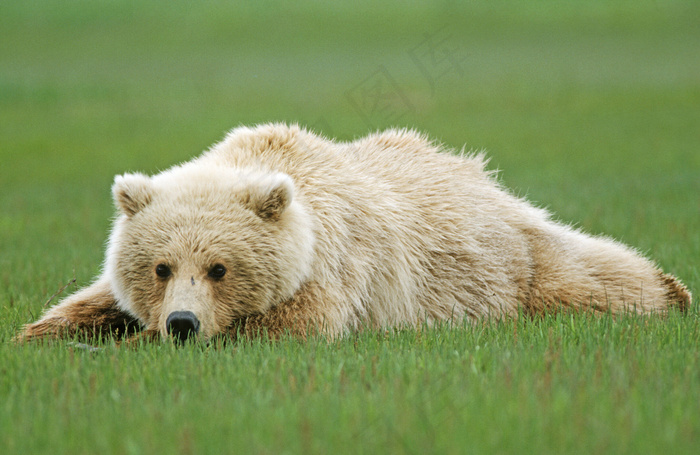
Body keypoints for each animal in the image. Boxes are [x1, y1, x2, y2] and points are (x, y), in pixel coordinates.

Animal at [19, 123, 692, 344]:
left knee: (590, 277)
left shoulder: (334, 268)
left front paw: (136, 344)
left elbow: (299, 325)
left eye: (220, 267)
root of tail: (480, 175)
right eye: (159, 267)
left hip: (511, 261)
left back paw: (672, 292)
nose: (182, 323)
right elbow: (85, 303)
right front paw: (43, 336)